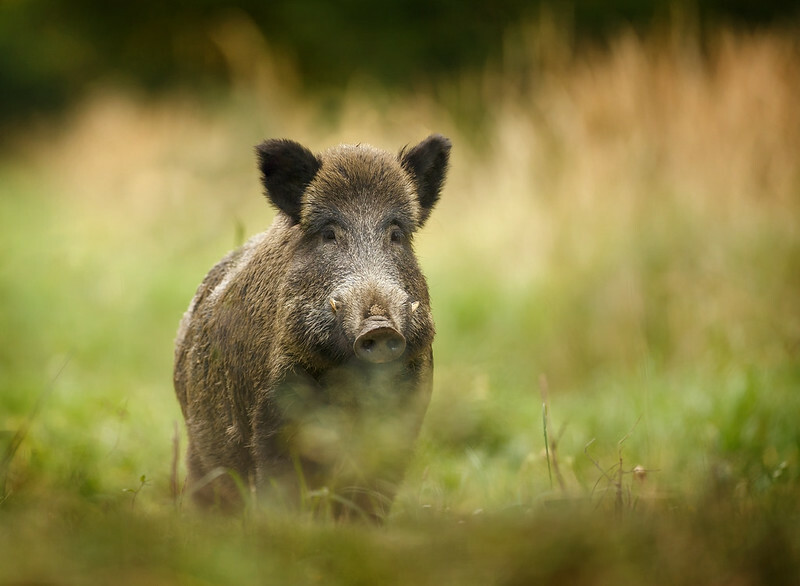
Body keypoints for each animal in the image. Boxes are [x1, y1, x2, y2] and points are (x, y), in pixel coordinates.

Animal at [173, 134, 450, 519]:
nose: (379, 327)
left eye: (396, 234)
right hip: (200, 454)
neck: (351, 383)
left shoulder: (405, 416)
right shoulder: (273, 416)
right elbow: (283, 487)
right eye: (329, 233)